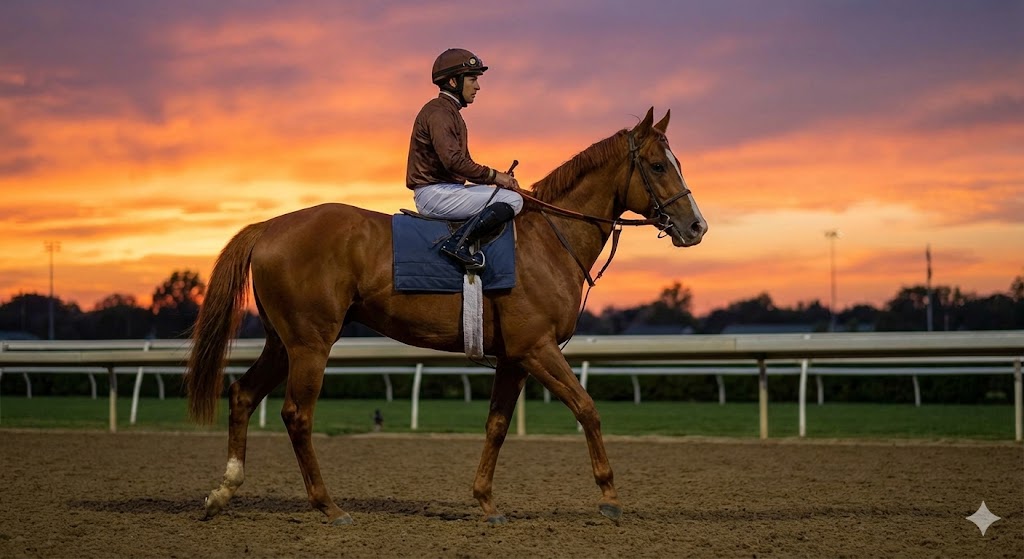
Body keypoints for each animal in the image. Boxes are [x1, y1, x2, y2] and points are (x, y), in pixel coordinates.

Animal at [185, 107, 708, 526]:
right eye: (658, 165)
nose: (696, 227)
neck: (549, 240)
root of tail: (269, 226)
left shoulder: (514, 358)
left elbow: (497, 426)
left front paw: (487, 502)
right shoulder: (537, 349)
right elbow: (587, 408)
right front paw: (610, 496)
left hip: (284, 341)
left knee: (242, 394)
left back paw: (222, 493)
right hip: (311, 343)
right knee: (297, 414)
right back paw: (328, 506)